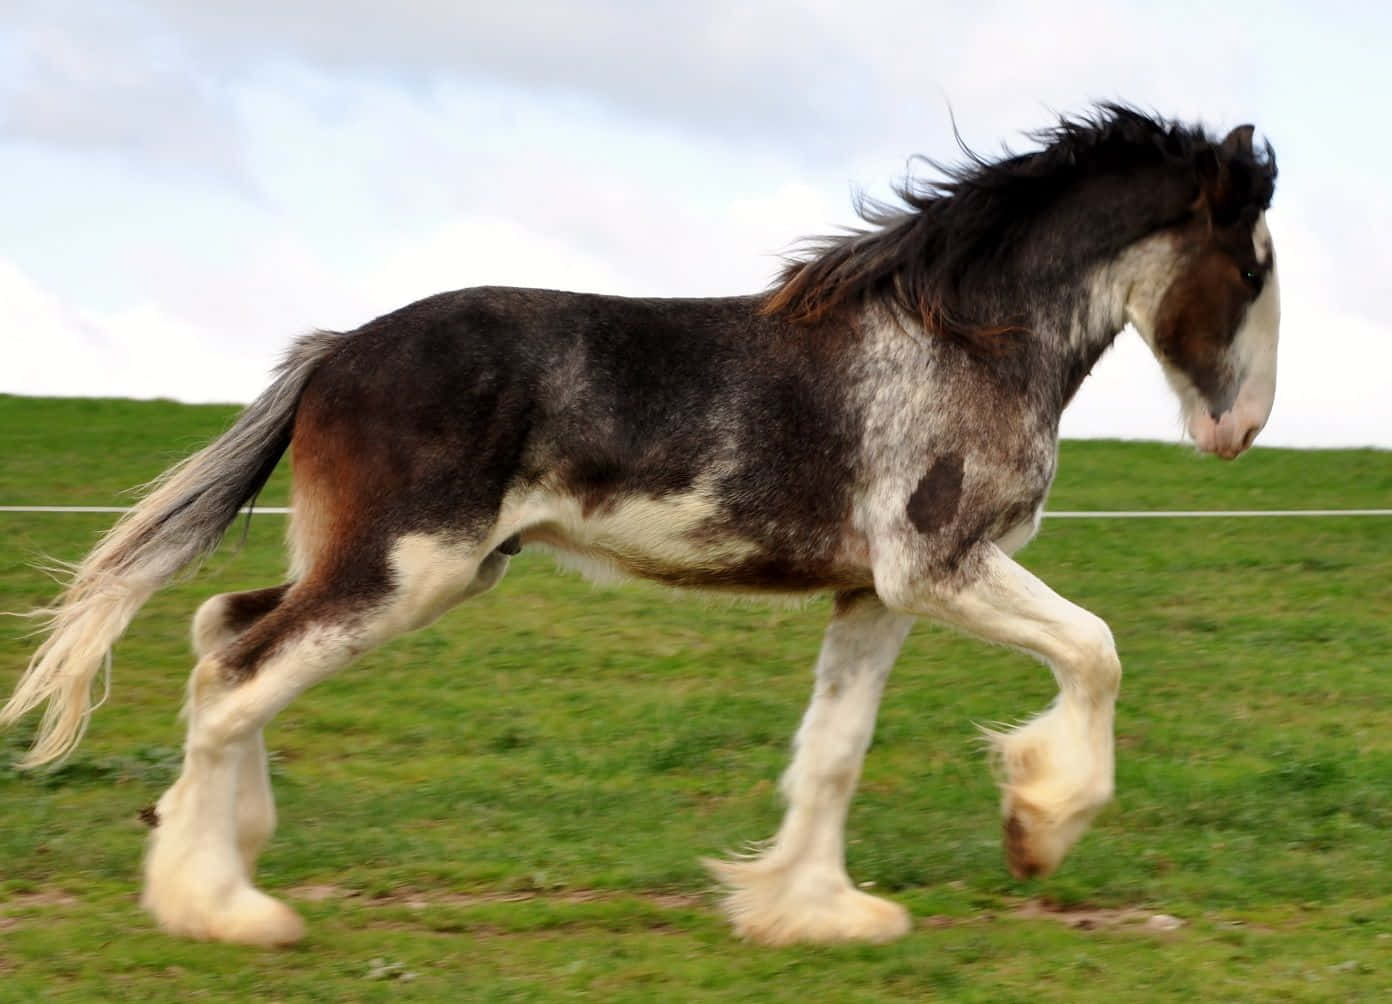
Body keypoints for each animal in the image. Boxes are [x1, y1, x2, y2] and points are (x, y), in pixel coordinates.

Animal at [1, 104, 1280, 947]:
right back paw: (221, 905)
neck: (959, 338)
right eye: (1254, 265)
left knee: (222, 628)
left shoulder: (874, 592)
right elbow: (1097, 650)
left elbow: (835, 750)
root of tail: (333, 351)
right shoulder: (940, 567)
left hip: (379, 561)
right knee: (238, 672)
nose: (1241, 430)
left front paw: (813, 910)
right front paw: (1037, 827)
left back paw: (217, 850)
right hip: (407, 567)